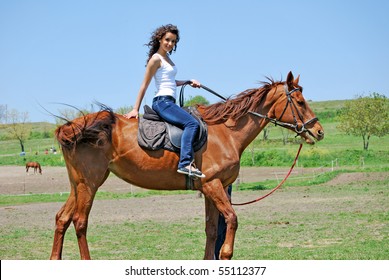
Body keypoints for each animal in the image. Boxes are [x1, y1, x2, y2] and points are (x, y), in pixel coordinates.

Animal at [50, 72, 324, 260]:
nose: (318, 131)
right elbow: (232, 220)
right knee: (80, 222)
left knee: (62, 218)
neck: (224, 132)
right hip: (90, 183)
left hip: (78, 184)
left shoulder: (212, 189)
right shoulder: (213, 186)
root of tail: (73, 127)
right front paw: (226, 254)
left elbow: (212, 230)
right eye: (299, 102)